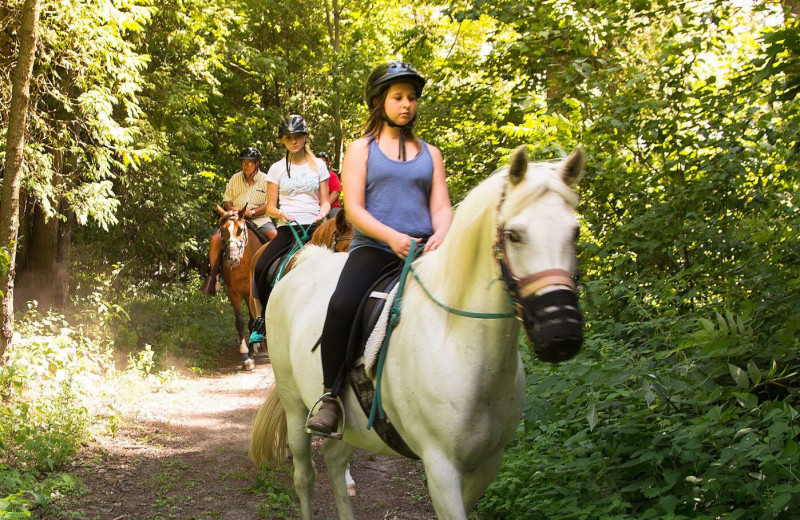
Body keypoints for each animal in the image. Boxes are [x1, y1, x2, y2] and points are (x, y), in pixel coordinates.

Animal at [216, 203, 266, 366]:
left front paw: (251, 350)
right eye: (222, 230)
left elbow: (252, 320)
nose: (232, 259)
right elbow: (240, 321)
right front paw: (245, 355)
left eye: (241, 230)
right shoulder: (234, 291)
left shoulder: (251, 292)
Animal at [252, 146, 588, 520]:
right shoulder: (441, 467)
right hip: (294, 406)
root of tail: (306, 261)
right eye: (514, 234)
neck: (459, 342)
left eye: (574, 232)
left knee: (336, 463)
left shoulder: (488, 463)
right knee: (305, 477)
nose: (561, 333)